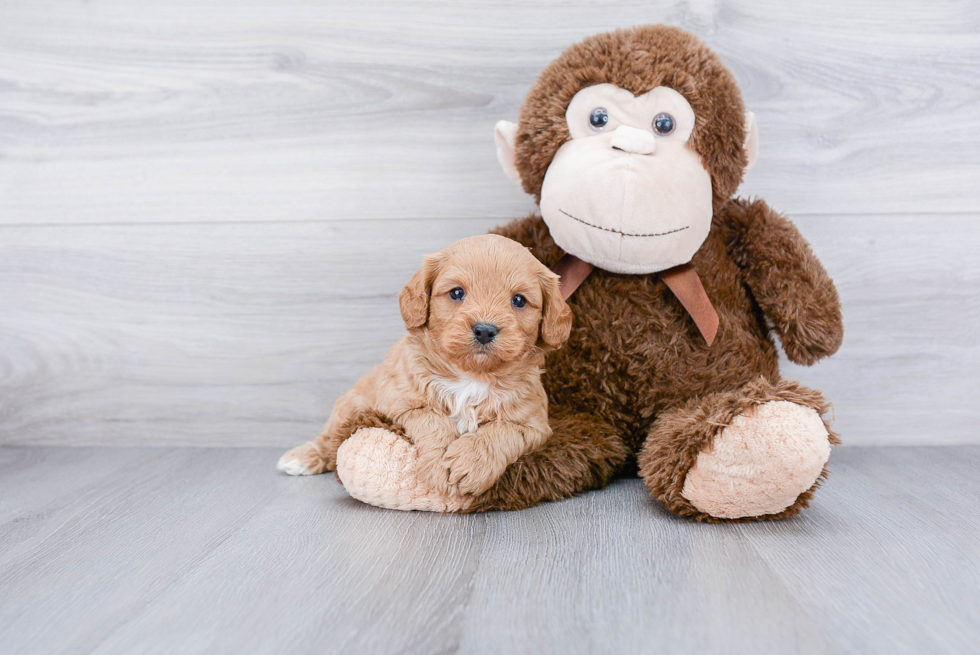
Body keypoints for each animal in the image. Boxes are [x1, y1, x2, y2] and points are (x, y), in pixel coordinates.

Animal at [276, 236, 576, 498]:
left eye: (519, 300)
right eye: (457, 293)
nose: (484, 330)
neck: (471, 376)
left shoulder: (534, 425)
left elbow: (502, 432)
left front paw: (470, 463)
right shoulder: (399, 403)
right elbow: (433, 418)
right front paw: (441, 463)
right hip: (351, 404)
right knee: (330, 437)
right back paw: (303, 457)